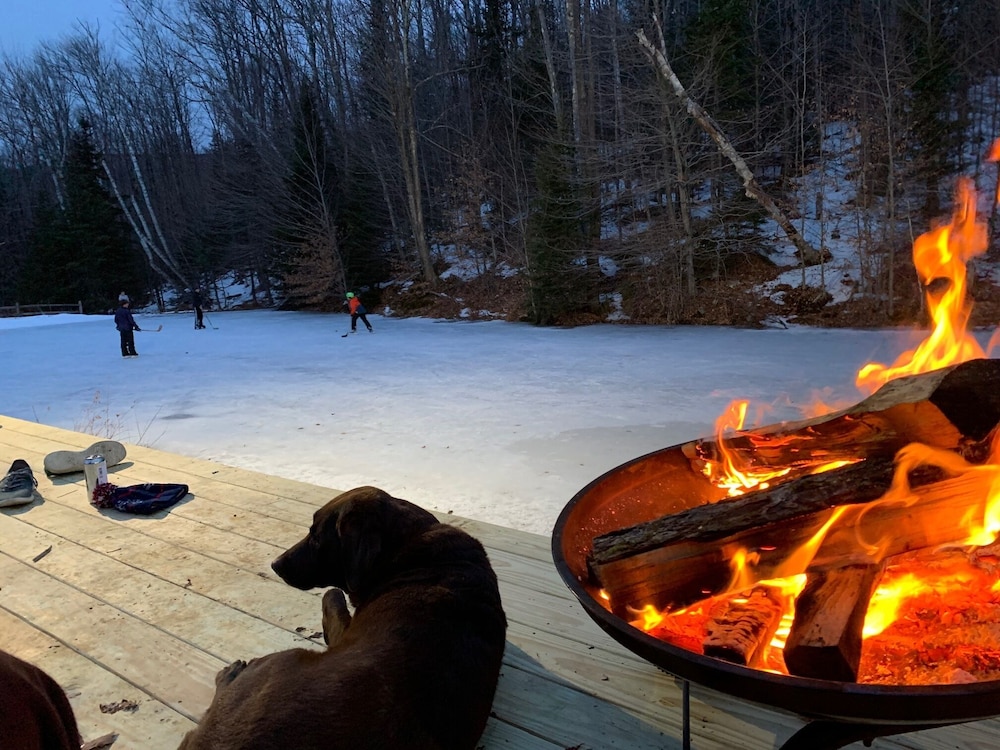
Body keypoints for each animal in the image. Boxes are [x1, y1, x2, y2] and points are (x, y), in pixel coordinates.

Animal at [178, 486, 507, 750]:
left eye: (316, 535)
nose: (275, 564)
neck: (408, 548)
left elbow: (332, 595)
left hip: (278, 662)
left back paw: (230, 673)